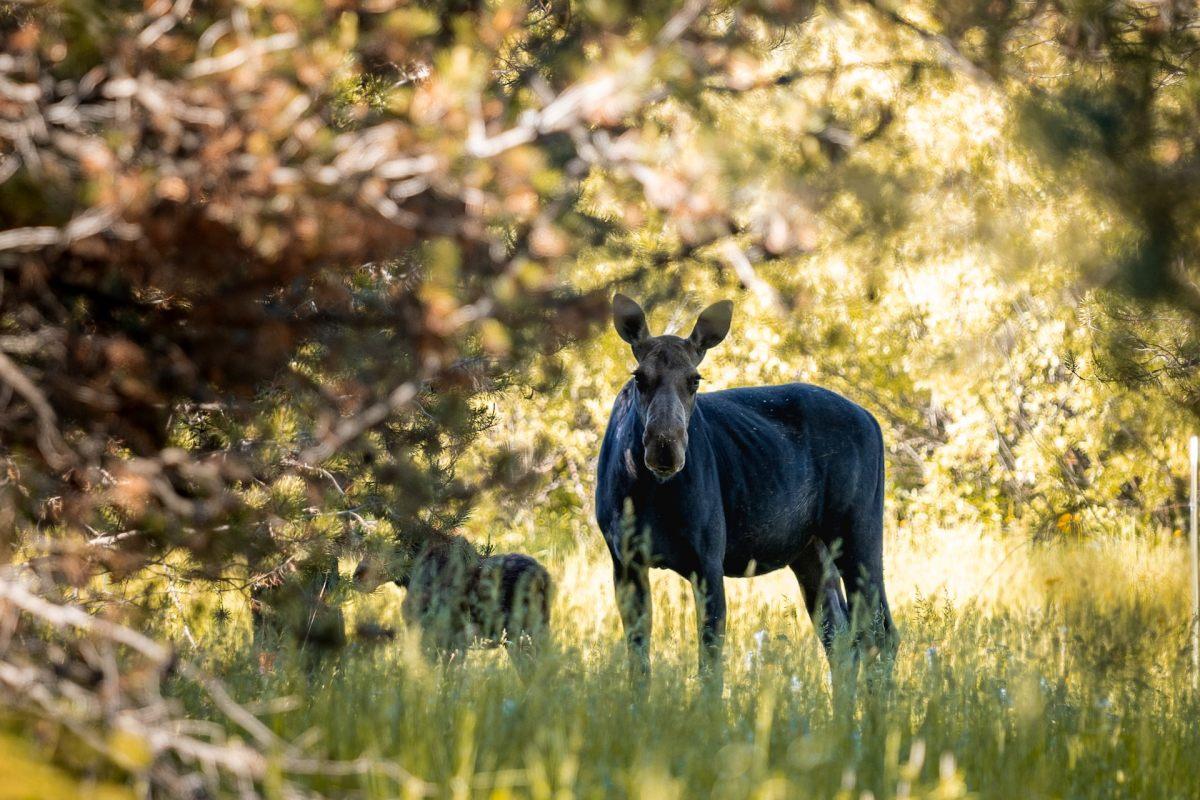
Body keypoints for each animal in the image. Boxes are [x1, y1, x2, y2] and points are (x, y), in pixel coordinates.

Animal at [595, 297, 897, 686]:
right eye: (639, 377)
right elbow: (639, 663)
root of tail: (873, 421)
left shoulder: (708, 559)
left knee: (881, 633)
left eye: (695, 380)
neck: (647, 492)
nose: (665, 447)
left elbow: (710, 665)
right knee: (843, 639)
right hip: (811, 551)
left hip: (858, 532)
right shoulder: (625, 561)